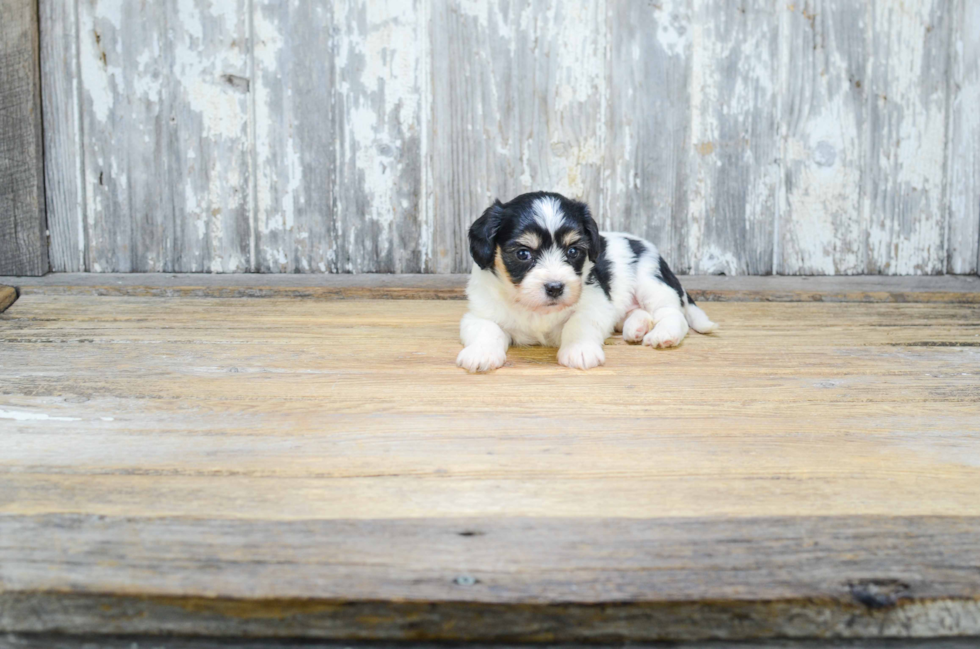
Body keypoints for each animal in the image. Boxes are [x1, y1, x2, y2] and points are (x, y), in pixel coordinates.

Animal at [456, 190, 716, 370]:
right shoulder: (479, 315)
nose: (555, 288)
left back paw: (663, 334)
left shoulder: (595, 305)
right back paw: (637, 327)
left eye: (573, 251)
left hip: (651, 280)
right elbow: (487, 329)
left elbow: (578, 323)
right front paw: (481, 353)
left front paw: (579, 350)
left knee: (672, 314)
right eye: (522, 254)